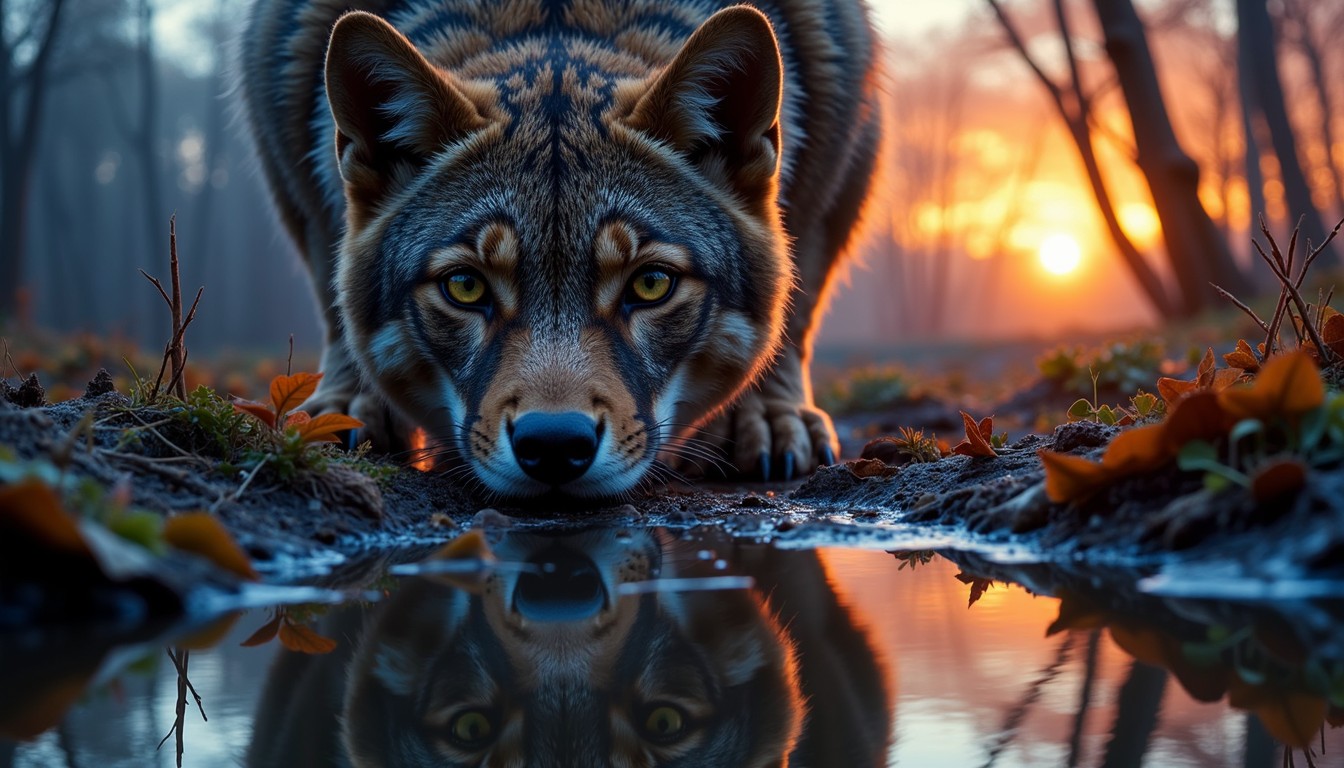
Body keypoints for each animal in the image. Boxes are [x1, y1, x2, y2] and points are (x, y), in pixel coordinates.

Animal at [239, 0, 881, 498]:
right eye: (465, 287)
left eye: (650, 284)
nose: (553, 445)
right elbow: (336, 304)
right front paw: (349, 407)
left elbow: (793, 313)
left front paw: (766, 416)